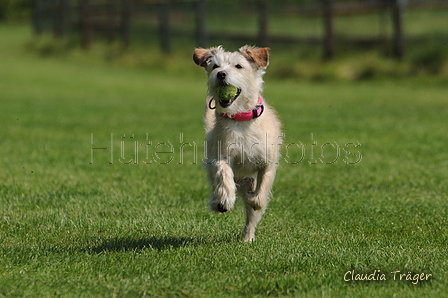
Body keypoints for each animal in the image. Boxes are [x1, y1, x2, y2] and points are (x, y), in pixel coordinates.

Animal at [193, 46, 284, 242]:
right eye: (215, 66)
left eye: (239, 66)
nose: (221, 74)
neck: (240, 118)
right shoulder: (221, 155)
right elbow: (223, 174)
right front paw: (226, 199)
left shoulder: (267, 164)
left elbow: (259, 196)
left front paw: (252, 199)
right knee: (216, 185)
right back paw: (218, 202)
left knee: (252, 216)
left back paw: (247, 237)